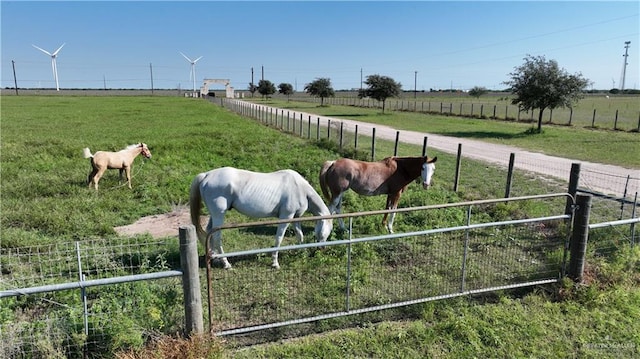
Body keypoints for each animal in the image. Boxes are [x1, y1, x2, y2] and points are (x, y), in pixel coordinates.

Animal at [189, 167, 330, 268]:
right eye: (328, 231)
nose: (322, 249)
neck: (300, 188)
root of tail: (206, 175)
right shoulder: (286, 216)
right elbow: (279, 238)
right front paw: (275, 263)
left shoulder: (296, 217)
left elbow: (300, 236)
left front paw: (301, 252)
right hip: (219, 214)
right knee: (217, 237)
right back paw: (226, 263)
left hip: (214, 215)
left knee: (209, 233)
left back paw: (215, 259)